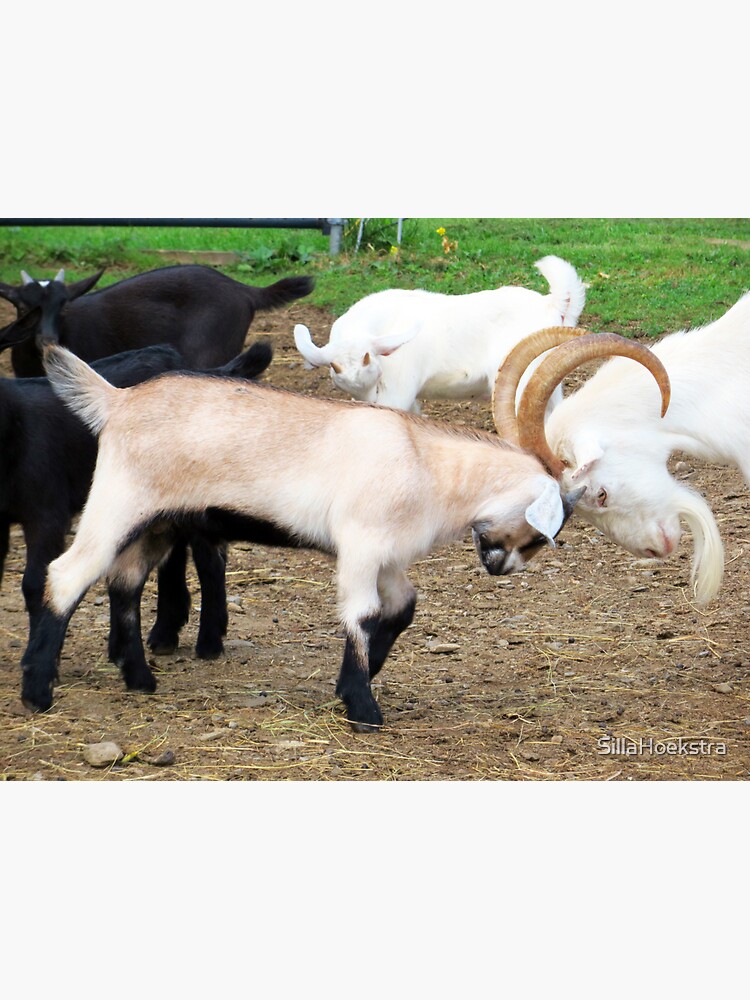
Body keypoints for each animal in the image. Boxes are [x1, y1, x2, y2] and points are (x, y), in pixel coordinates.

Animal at [29, 333, 666, 729]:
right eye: (541, 531)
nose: (499, 565)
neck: (423, 463)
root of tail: (117, 402)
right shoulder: (361, 545)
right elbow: (361, 614)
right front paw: (364, 709)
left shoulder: (389, 557)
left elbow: (403, 607)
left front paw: (349, 686)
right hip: (118, 504)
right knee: (66, 575)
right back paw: (38, 692)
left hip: (159, 524)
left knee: (125, 582)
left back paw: (139, 680)